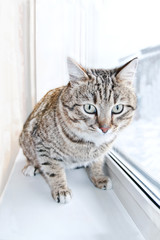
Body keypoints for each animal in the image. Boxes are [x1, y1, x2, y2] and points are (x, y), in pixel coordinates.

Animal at [19, 57, 138, 203]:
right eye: (89, 108)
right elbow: (53, 169)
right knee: (31, 157)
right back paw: (31, 166)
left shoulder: (100, 153)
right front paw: (61, 189)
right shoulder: (43, 145)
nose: (105, 128)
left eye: (117, 108)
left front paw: (98, 177)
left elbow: (97, 163)